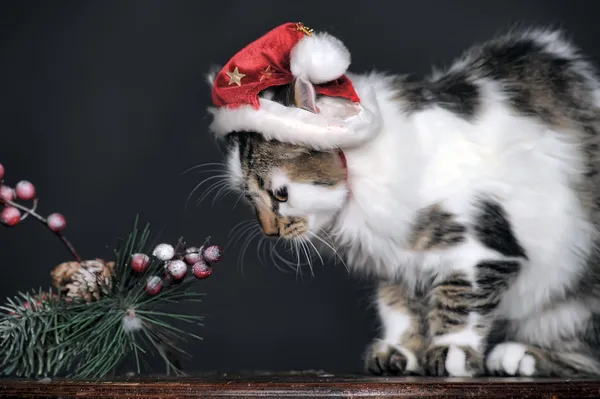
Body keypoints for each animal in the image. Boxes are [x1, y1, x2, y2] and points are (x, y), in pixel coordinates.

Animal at [207, 28, 600, 378]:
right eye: (249, 199)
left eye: (280, 194)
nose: (270, 232)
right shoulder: (394, 261)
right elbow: (398, 307)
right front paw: (402, 350)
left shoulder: (479, 247)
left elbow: (460, 300)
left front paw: (452, 351)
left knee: (584, 355)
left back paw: (520, 355)